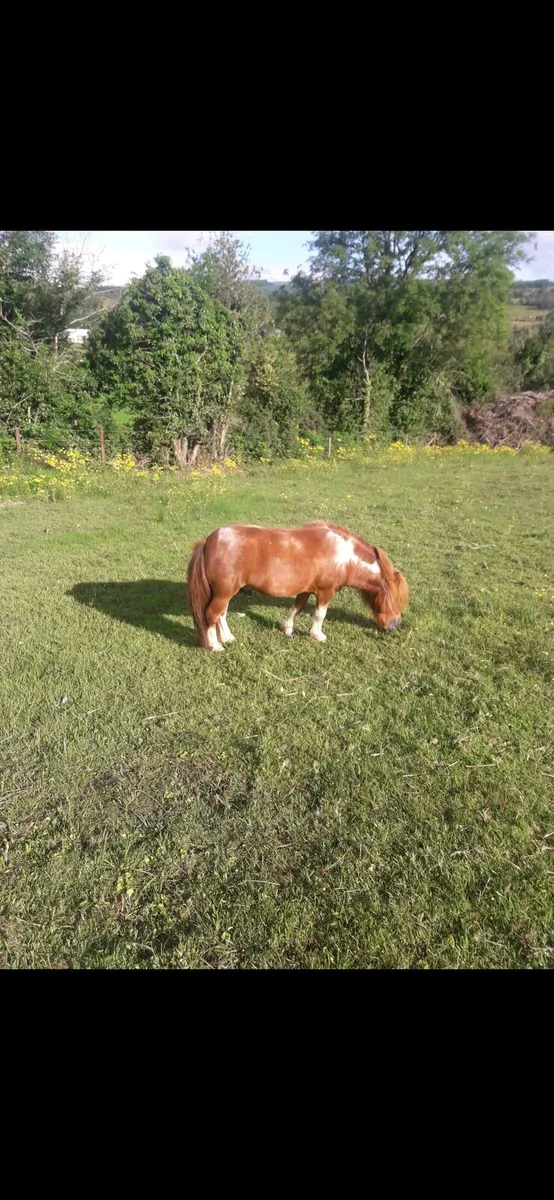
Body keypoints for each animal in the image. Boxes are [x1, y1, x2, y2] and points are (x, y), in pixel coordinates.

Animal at [187, 521, 408, 651]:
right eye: (395, 599)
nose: (395, 625)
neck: (343, 555)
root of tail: (208, 542)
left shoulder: (306, 590)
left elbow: (297, 608)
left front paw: (287, 628)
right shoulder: (326, 592)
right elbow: (320, 614)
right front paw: (317, 635)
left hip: (224, 593)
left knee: (221, 615)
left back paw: (227, 638)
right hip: (223, 593)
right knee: (211, 615)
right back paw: (215, 646)